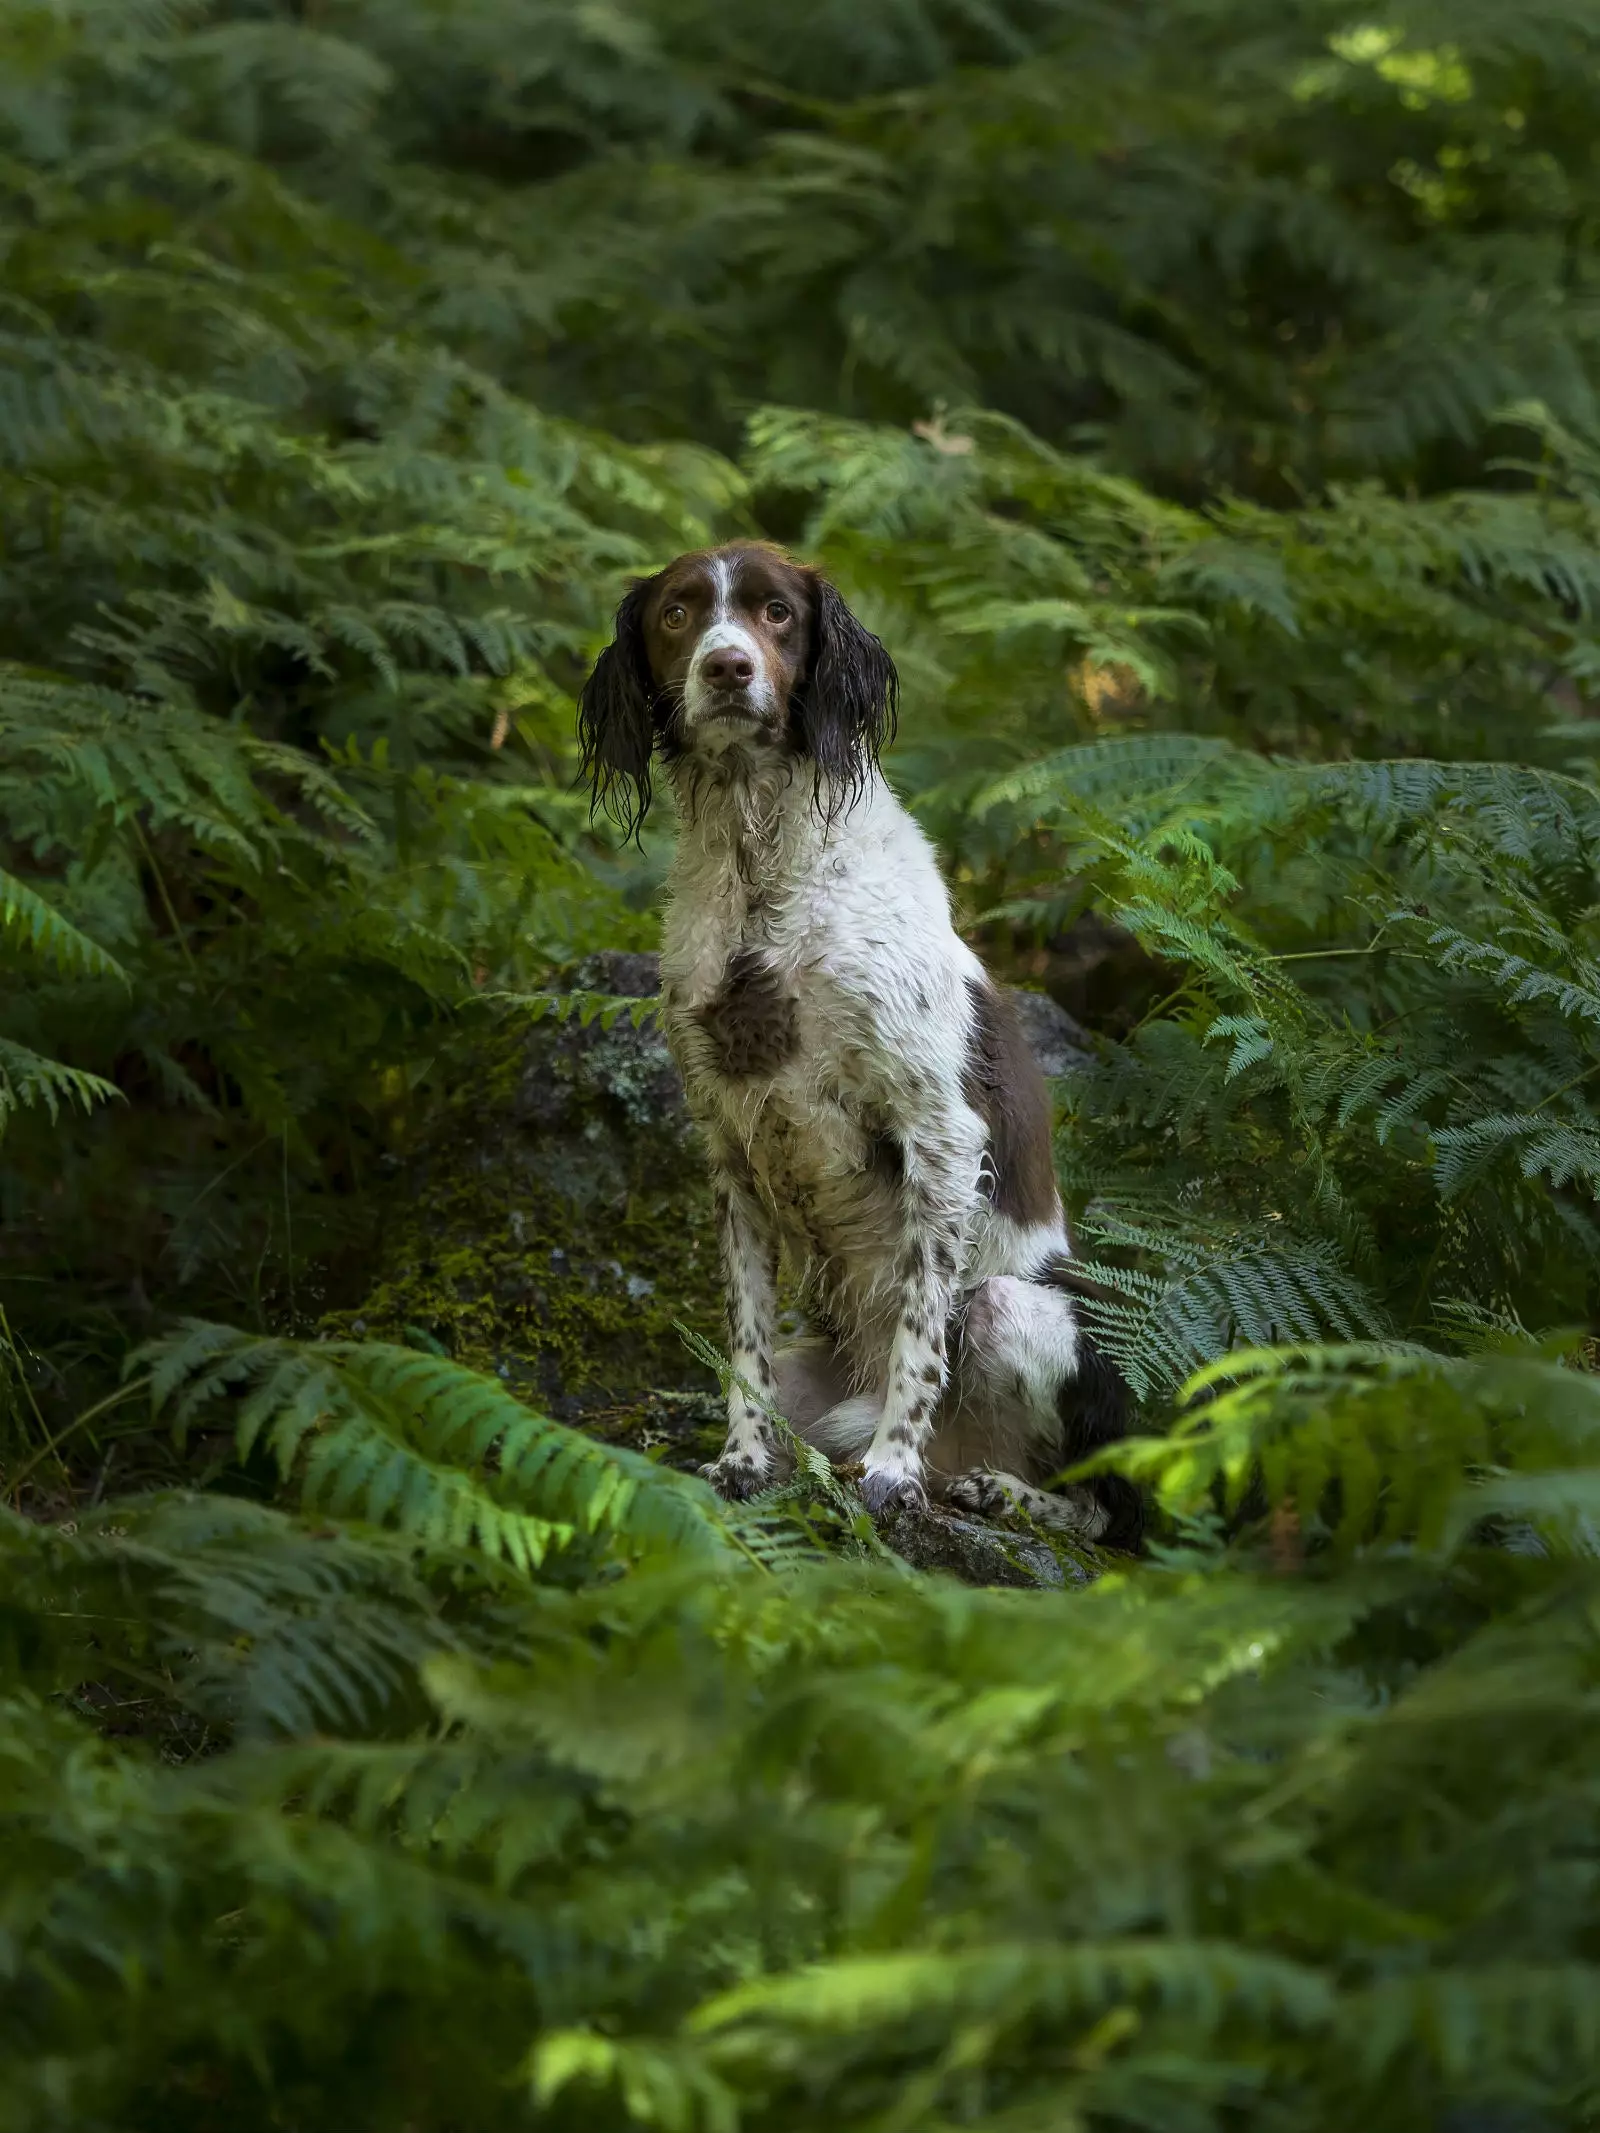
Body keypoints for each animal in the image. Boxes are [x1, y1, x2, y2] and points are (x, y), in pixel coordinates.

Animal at [584, 541, 1143, 1544]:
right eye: (678, 615)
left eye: (775, 612)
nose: (727, 668)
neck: (762, 869)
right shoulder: (731, 1152)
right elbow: (746, 1342)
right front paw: (742, 1459)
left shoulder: (940, 1132)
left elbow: (920, 1330)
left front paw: (890, 1470)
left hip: (1014, 1308)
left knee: (1098, 1506)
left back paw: (991, 1489)